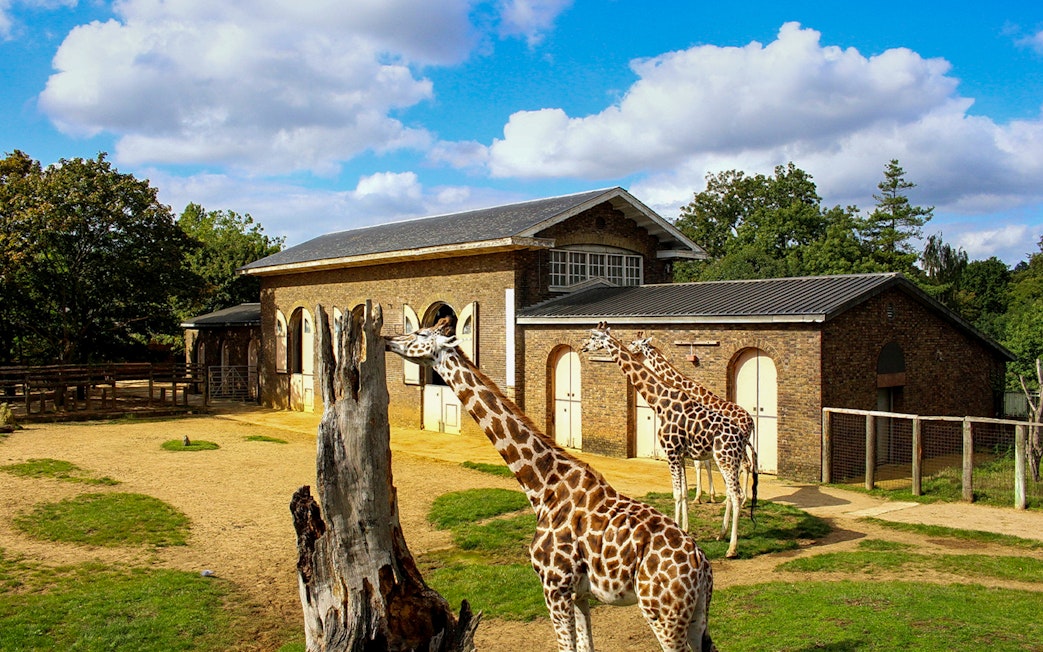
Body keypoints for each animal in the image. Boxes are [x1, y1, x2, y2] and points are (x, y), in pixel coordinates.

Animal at [385, 318, 716, 652]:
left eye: (421, 334)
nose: (388, 340)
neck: (543, 485)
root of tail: (703, 567)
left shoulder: (554, 586)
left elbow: (566, 646)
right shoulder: (579, 593)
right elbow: (585, 646)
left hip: (663, 615)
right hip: (696, 617)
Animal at [580, 322, 745, 559]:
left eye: (594, 336)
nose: (583, 346)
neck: (660, 401)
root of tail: (741, 434)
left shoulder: (671, 452)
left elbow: (676, 493)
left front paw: (676, 533)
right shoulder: (680, 454)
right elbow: (683, 492)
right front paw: (684, 529)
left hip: (726, 458)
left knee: (737, 494)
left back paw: (732, 548)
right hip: (728, 459)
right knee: (732, 493)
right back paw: (721, 535)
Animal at [629, 335, 759, 509]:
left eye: (634, 343)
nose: (630, 349)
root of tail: (751, 421)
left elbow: (699, 464)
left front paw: (699, 497)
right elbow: (706, 463)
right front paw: (710, 496)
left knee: (743, 465)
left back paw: (739, 500)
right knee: (744, 464)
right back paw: (735, 499)